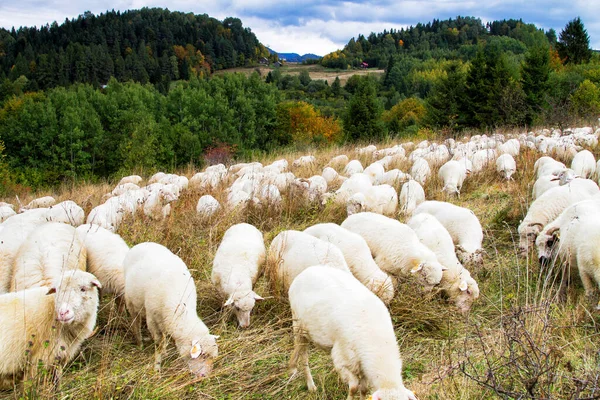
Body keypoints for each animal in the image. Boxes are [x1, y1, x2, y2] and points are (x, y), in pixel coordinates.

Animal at [123, 242, 218, 376]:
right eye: (203, 355)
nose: (205, 376)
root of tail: (143, 243)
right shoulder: (152, 321)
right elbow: (159, 344)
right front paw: (157, 368)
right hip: (130, 301)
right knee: (135, 322)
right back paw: (139, 342)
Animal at [288, 266, 414, 400]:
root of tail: (307, 270)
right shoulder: (342, 361)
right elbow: (353, 387)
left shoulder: (363, 365)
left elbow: (364, 389)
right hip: (298, 325)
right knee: (303, 356)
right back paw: (311, 385)